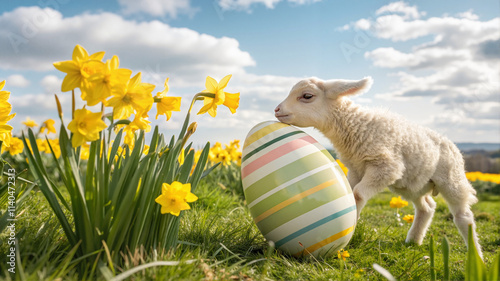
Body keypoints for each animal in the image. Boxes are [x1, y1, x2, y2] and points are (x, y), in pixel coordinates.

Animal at [276, 75, 482, 258]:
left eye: (307, 96)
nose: (277, 110)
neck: (355, 127)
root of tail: (450, 143)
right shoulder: (355, 168)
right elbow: (351, 191)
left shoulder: (386, 166)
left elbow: (358, 194)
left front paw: (353, 222)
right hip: (413, 183)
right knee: (427, 207)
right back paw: (414, 240)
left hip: (451, 178)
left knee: (462, 214)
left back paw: (476, 254)